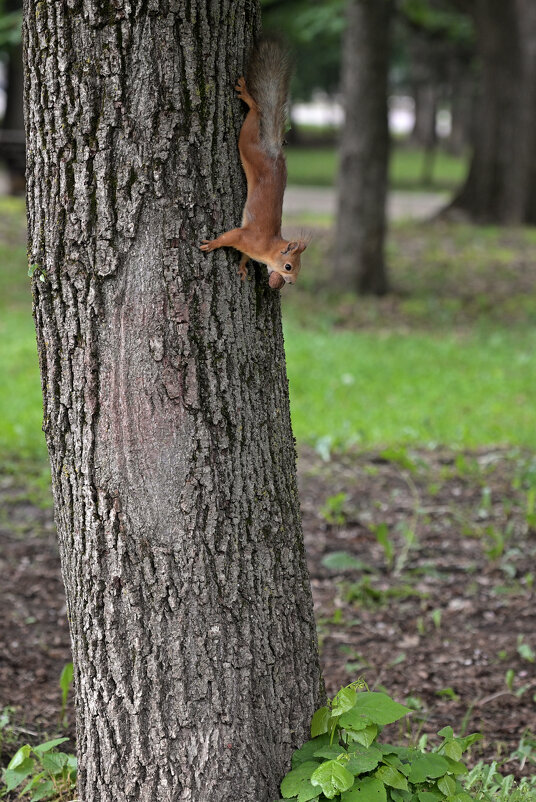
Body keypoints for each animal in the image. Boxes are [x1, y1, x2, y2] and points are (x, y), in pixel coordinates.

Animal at [199, 39, 306, 288]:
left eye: (299, 269)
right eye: (288, 266)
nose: (291, 282)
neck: (268, 248)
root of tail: (274, 149)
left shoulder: (249, 246)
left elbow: (244, 256)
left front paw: (241, 267)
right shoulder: (246, 237)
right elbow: (228, 236)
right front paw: (212, 244)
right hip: (247, 144)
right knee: (255, 114)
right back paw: (248, 97)